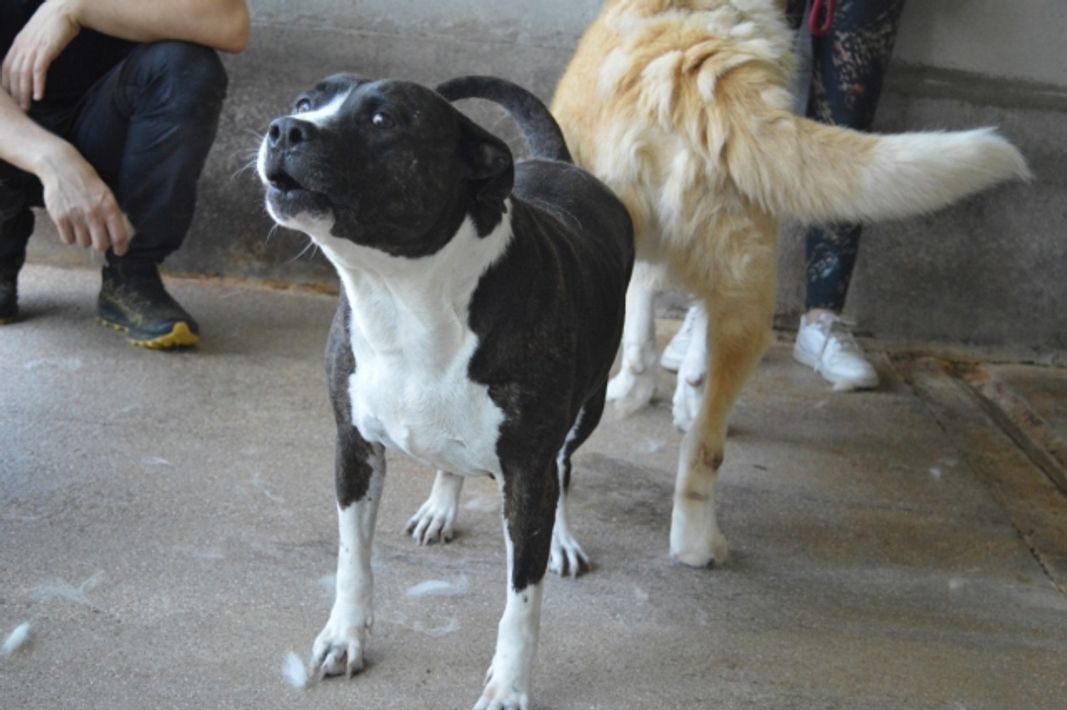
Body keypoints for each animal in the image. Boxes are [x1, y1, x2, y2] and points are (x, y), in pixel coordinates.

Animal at [258, 73, 633, 710]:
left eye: (382, 120)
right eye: (307, 103)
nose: (285, 128)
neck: (405, 295)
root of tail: (558, 161)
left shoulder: (527, 473)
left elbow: (521, 603)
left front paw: (508, 687)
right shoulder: (353, 446)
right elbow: (352, 558)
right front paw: (345, 636)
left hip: (585, 412)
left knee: (563, 469)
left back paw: (560, 537)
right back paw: (440, 506)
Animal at [551, 0, 1030, 568]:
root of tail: (688, 64)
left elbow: (641, 328)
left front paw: (633, 388)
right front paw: (671, 388)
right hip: (749, 292)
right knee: (705, 448)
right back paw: (696, 544)